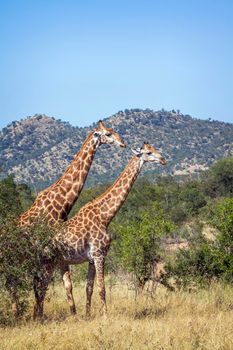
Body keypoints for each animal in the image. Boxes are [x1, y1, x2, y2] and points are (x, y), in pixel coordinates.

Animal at [9, 121, 125, 318]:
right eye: (108, 134)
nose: (123, 143)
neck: (59, 205)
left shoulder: (59, 252)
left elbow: (63, 285)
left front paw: (72, 314)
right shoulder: (51, 251)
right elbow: (45, 284)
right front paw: (39, 315)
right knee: (13, 282)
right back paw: (17, 313)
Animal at [33, 143, 167, 320]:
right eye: (148, 152)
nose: (163, 159)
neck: (105, 216)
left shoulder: (91, 259)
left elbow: (89, 288)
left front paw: (88, 315)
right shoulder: (99, 254)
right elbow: (102, 288)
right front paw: (105, 316)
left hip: (54, 261)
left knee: (41, 286)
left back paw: (38, 316)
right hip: (47, 261)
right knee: (40, 286)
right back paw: (39, 318)